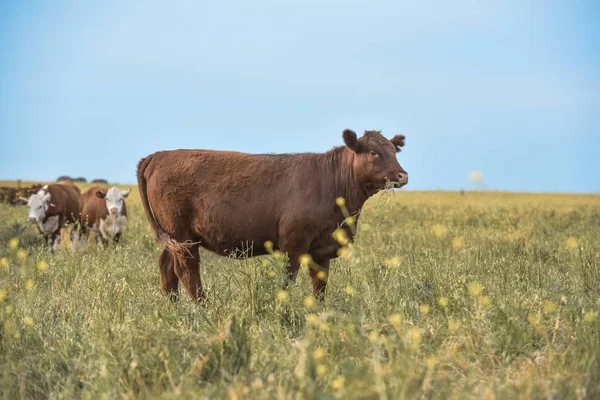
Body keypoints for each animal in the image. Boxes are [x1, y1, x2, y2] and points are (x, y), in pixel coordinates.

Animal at [137, 130, 408, 302]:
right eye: (373, 152)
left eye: (394, 151)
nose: (402, 175)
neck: (331, 181)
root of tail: (157, 156)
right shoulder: (293, 245)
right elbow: (287, 282)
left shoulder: (322, 250)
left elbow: (319, 287)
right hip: (183, 238)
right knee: (187, 272)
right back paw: (206, 309)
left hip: (174, 239)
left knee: (167, 268)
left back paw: (174, 309)